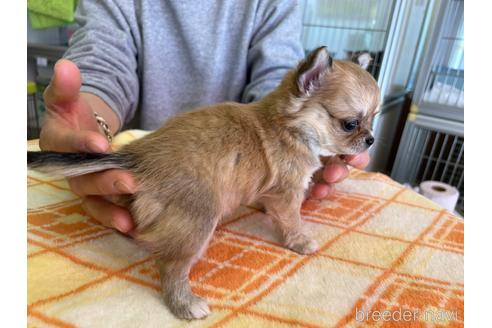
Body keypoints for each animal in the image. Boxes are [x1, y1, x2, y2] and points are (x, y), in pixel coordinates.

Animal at [26, 47, 380, 320]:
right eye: (350, 124)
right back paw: (185, 304)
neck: (288, 124)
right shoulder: (288, 192)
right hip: (199, 220)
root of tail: (137, 155)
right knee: (171, 266)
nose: (371, 140)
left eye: (373, 118)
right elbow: (292, 219)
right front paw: (300, 240)